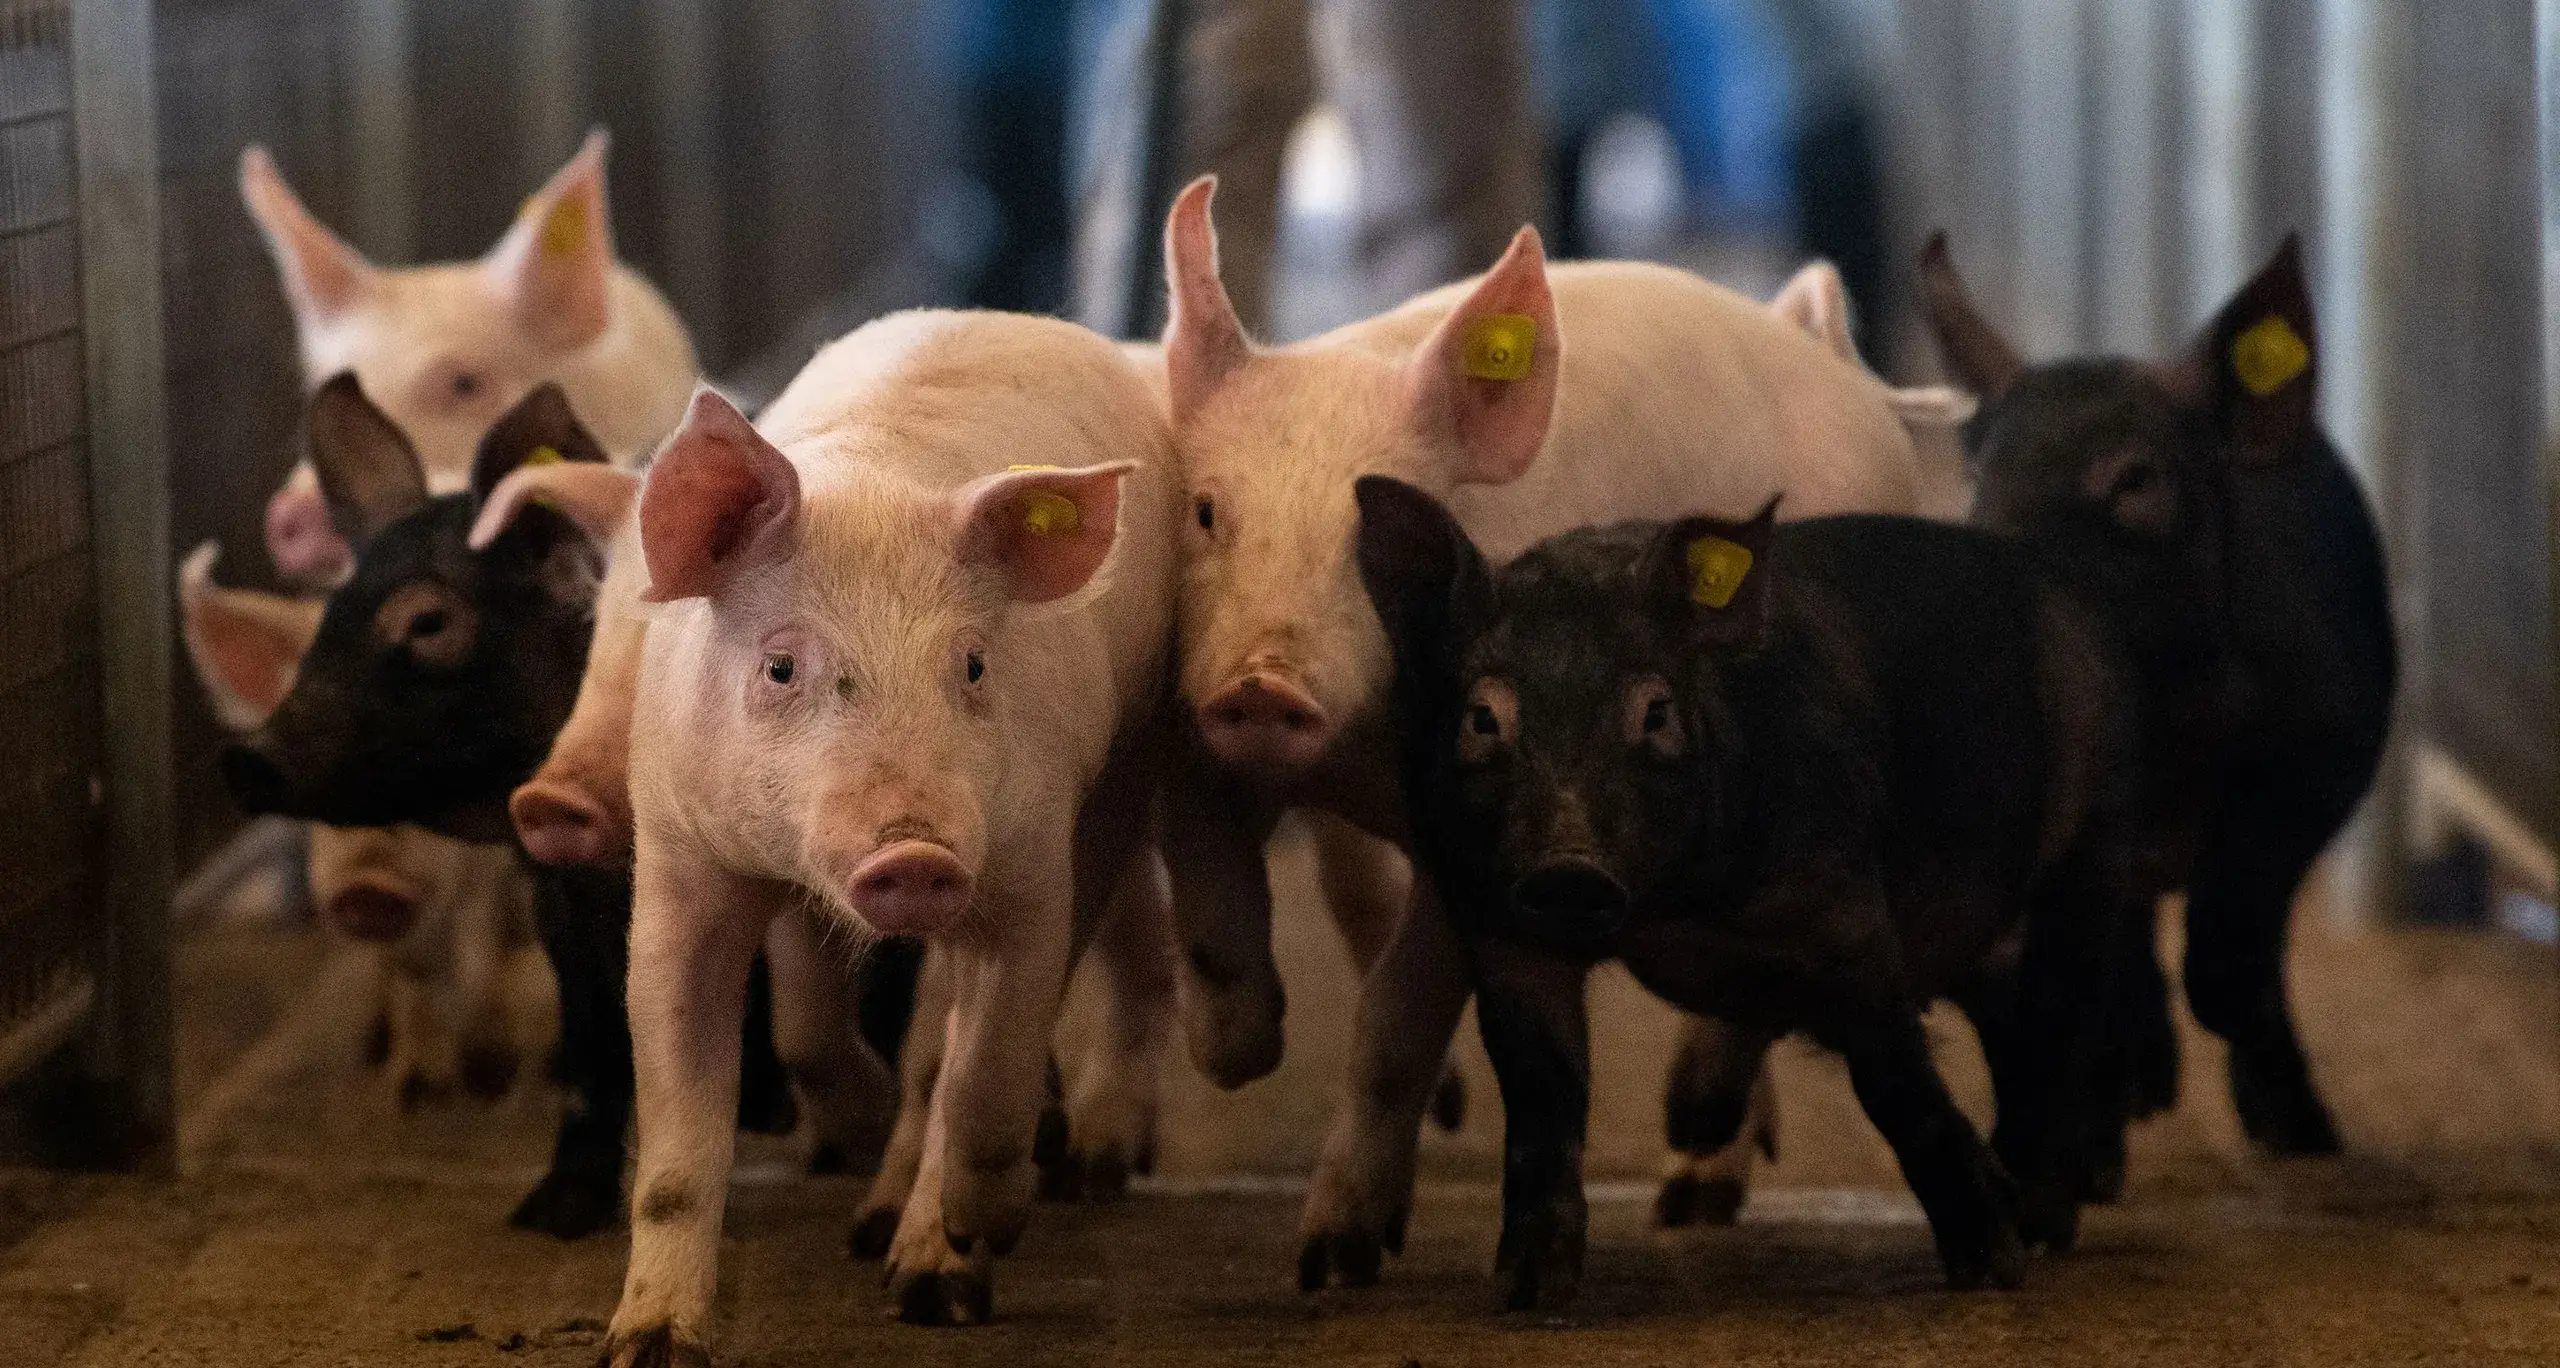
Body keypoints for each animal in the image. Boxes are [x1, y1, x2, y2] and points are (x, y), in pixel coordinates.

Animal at [212, 378, 806, 1237]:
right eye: (329, 618)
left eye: (428, 621)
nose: (246, 754)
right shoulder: (558, 882)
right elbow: (590, 1029)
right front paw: (552, 1212)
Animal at [602, 308, 1176, 1356]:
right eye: (781, 667)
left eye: (975, 664)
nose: (915, 853)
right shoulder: (678, 857)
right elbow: (682, 1135)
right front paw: (651, 1348)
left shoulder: (1030, 862)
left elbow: (985, 1070)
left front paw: (977, 1236)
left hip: (1128, 761)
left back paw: (927, 1274)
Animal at [1152, 178, 1930, 1287]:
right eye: (1209, 512)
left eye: (1368, 539)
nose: (1265, 684)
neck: (1354, 765)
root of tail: (1825, 357)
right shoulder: (1197, 736)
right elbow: (1214, 906)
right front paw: (1243, 1051)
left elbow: (1394, 1020)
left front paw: (1331, 1260)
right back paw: (1694, 1189)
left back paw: (1688, 1156)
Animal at [1355, 480, 2152, 1307]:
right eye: (1483, 717)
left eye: (1656, 711)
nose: (1568, 867)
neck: (1675, 909)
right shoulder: (1504, 931)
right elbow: (1542, 1096)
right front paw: (1529, 1293)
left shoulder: (1845, 912)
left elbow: (1894, 1077)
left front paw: (1992, 1268)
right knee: (2014, 1033)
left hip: (2098, 841)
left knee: (2066, 1026)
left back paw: (2043, 1224)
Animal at [1918, 233, 2396, 1156]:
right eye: (1979, 474)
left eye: (2135, 480)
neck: (2181, 723)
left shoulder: (2336, 736)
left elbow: (2248, 899)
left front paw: (2279, 1104)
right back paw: (2142, 1090)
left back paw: (2298, 1131)